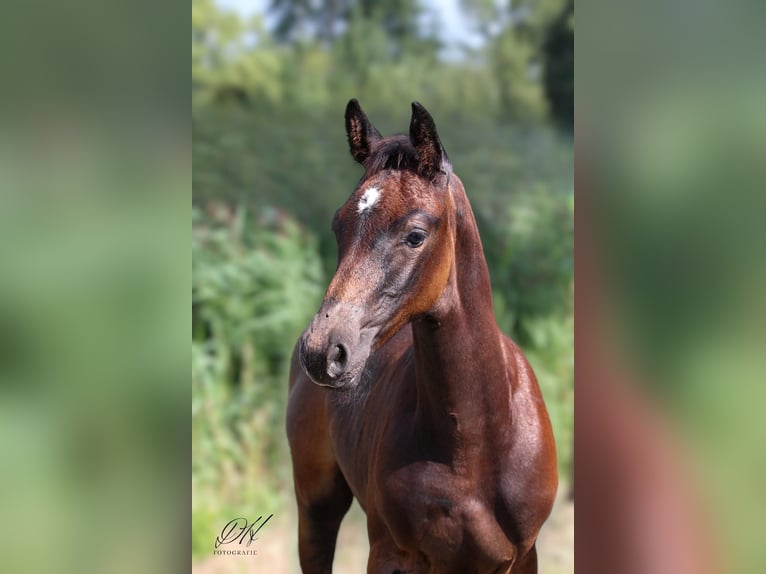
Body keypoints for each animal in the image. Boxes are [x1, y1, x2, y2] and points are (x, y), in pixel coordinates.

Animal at [286, 100, 558, 573]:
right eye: (339, 226)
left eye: (415, 235)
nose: (322, 352)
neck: (476, 443)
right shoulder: (391, 553)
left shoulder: (523, 557)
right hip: (315, 505)